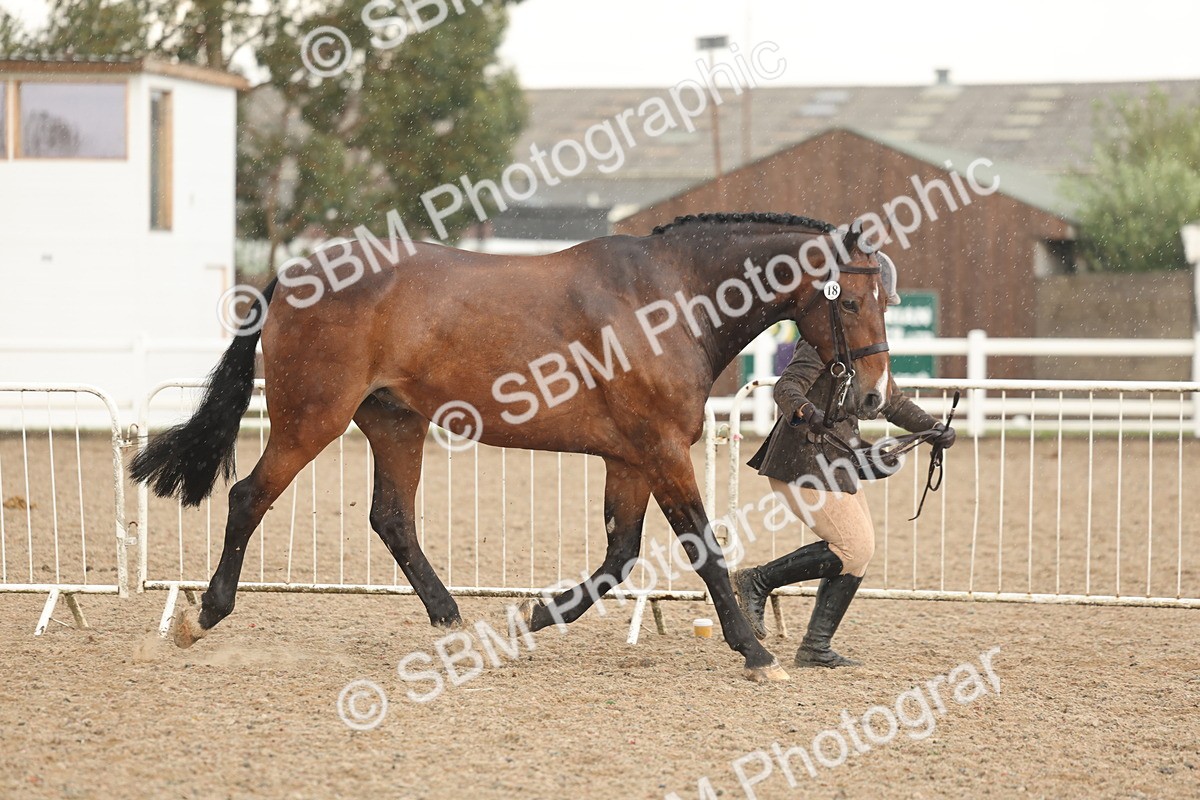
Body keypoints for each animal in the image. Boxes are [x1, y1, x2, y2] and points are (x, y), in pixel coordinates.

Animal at [131, 211, 893, 683]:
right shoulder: (661, 450)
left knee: (392, 518)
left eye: (887, 299)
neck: (670, 298)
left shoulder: (631, 458)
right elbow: (702, 550)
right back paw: (203, 615)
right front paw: (756, 653)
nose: (874, 399)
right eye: (853, 302)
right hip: (310, 419)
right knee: (248, 497)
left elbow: (619, 557)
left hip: (396, 424)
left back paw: (453, 621)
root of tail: (295, 276)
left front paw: (537, 614)